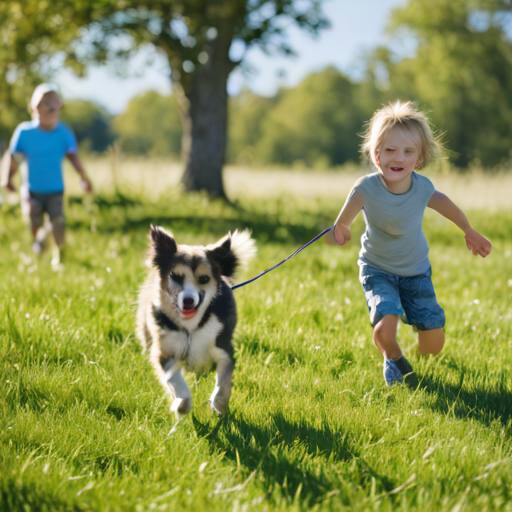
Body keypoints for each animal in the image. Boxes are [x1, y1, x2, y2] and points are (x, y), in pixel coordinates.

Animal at [136, 226, 256, 418]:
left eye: (204, 279)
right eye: (176, 276)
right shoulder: (165, 350)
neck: (191, 327)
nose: (188, 301)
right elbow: (173, 379)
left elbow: (223, 383)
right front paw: (181, 405)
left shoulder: (222, 346)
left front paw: (219, 406)